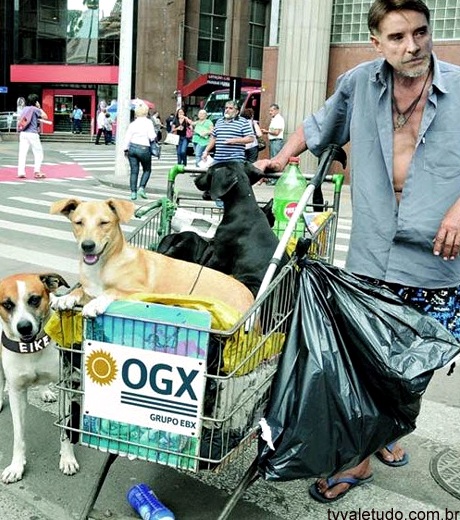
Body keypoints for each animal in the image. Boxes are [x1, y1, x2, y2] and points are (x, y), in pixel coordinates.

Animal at [0, 272, 79, 484]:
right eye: (7, 304)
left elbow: (65, 428)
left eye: (34, 299)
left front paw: (67, 458)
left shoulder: (66, 386)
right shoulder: (17, 392)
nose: (24, 327)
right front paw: (16, 466)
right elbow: (18, 435)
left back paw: (45, 391)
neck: (32, 350)